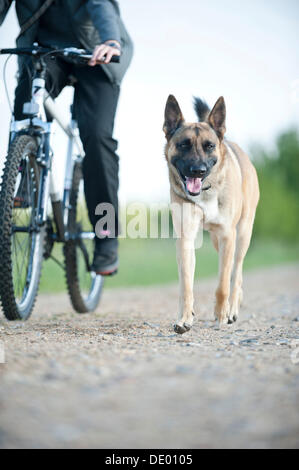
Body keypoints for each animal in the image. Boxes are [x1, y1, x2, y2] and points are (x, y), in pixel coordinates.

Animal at [164, 93, 260, 332]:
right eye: (183, 145)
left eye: (209, 146)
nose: (198, 170)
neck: (206, 191)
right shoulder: (186, 239)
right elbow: (186, 285)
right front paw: (185, 318)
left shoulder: (227, 235)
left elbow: (223, 284)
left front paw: (222, 314)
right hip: (217, 241)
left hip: (242, 235)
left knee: (236, 272)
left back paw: (232, 308)